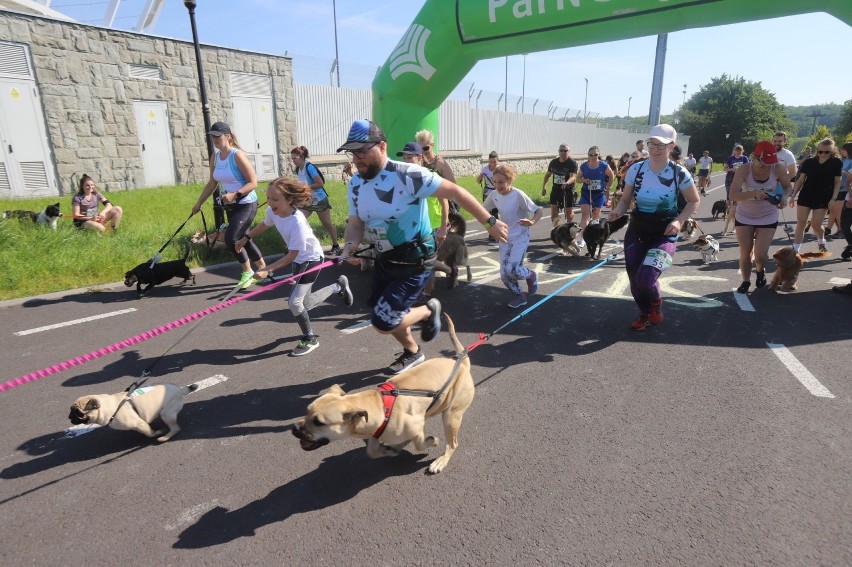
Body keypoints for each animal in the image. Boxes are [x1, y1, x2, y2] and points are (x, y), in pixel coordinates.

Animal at [68, 384, 196, 442]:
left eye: (78, 413)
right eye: (72, 412)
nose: (69, 417)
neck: (110, 406)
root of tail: (180, 390)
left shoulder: (138, 423)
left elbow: (149, 433)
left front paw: (157, 432)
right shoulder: (138, 425)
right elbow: (146, 430)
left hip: (166, 413)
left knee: (175, 428)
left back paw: (165, 437)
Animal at [292, 316, 472, 474]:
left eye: (319, 422)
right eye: (306, 411)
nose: (294, 428)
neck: (380, 405)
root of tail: (461, 362)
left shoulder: (416, 426)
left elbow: (420, 444)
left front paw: (432, 441)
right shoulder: (376, 431)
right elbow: (372, 451)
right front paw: (389, 451)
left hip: (451, 416)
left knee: (452, 444)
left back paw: (441, 461)